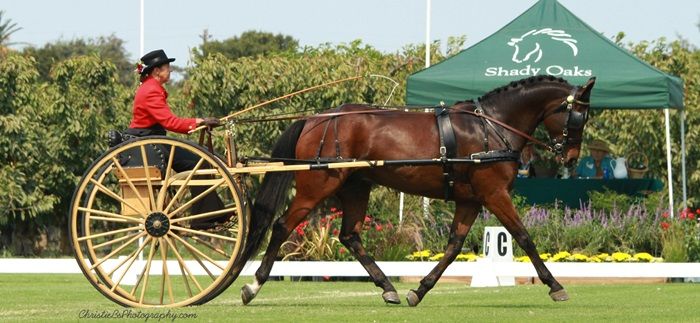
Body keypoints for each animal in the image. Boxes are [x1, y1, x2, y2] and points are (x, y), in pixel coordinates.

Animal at [239, 75, 592, 306]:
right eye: (579, 115)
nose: (571, 158)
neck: (492, 126)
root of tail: (315, 119)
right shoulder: (494, 194)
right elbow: (523, 237)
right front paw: (555, 286)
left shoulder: (470, 201)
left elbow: (453, 247)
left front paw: (419, 290)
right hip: (318, 186)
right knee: (282, 227)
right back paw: (253, 286)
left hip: (356, 187)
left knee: (350, 235)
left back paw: (388, 288)